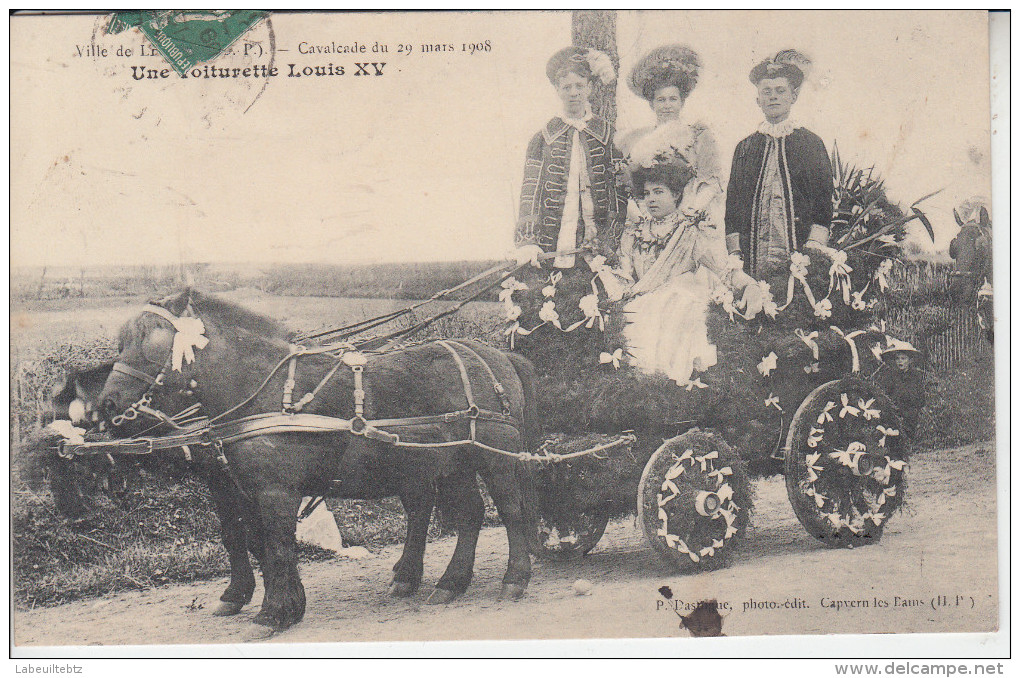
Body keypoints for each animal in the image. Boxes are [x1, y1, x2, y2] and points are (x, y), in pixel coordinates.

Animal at [51, 287, 542, 636]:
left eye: (155, 341)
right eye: (121, 342)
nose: (107, 406)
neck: (259, 389)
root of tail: (496, 354)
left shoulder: (274, 490)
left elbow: (275, 544)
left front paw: (273, 612)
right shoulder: (239, 484)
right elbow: (253, 541)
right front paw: (274, 602)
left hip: (493, 460)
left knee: (512, 512)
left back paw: (514, 578)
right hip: (449, 464)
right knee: (469, 515)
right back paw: (446, 583)